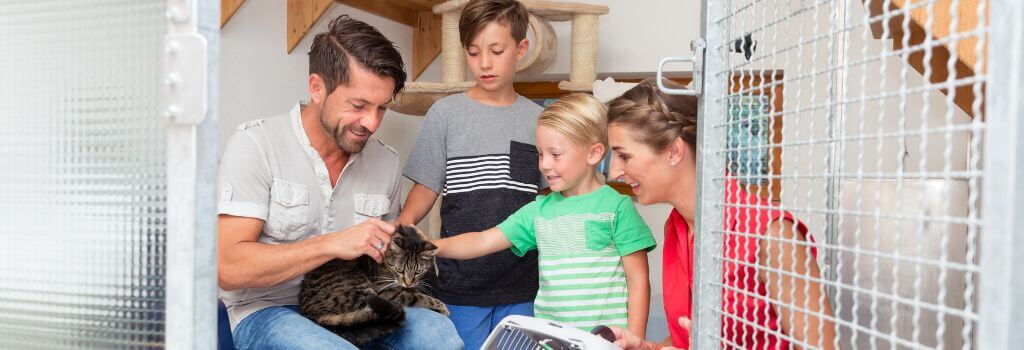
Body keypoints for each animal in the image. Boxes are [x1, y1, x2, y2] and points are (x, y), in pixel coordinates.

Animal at [299, 225, 452, 345]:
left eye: (419, 271)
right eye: (399, 269)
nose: (408, 283)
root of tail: (310, 311)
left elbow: (416, 291)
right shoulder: (386, 292)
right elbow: (417, 297)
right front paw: (441, 306)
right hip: (361, 291)